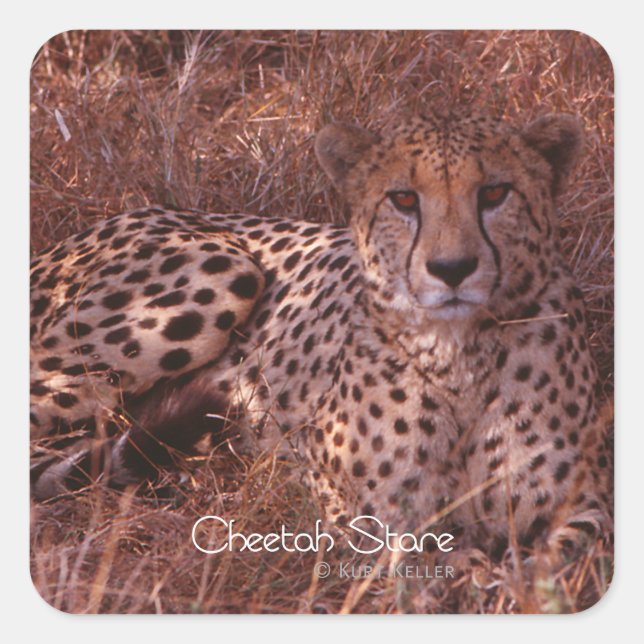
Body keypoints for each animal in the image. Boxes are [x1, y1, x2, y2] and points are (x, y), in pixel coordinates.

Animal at [30, 109, 611, 550]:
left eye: (494, 193)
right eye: (403, 199)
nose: (452, 269)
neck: (459, 356)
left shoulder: (585, 506)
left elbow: (559, 562)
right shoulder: (367, 512)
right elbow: (440, 566)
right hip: (221, 272)